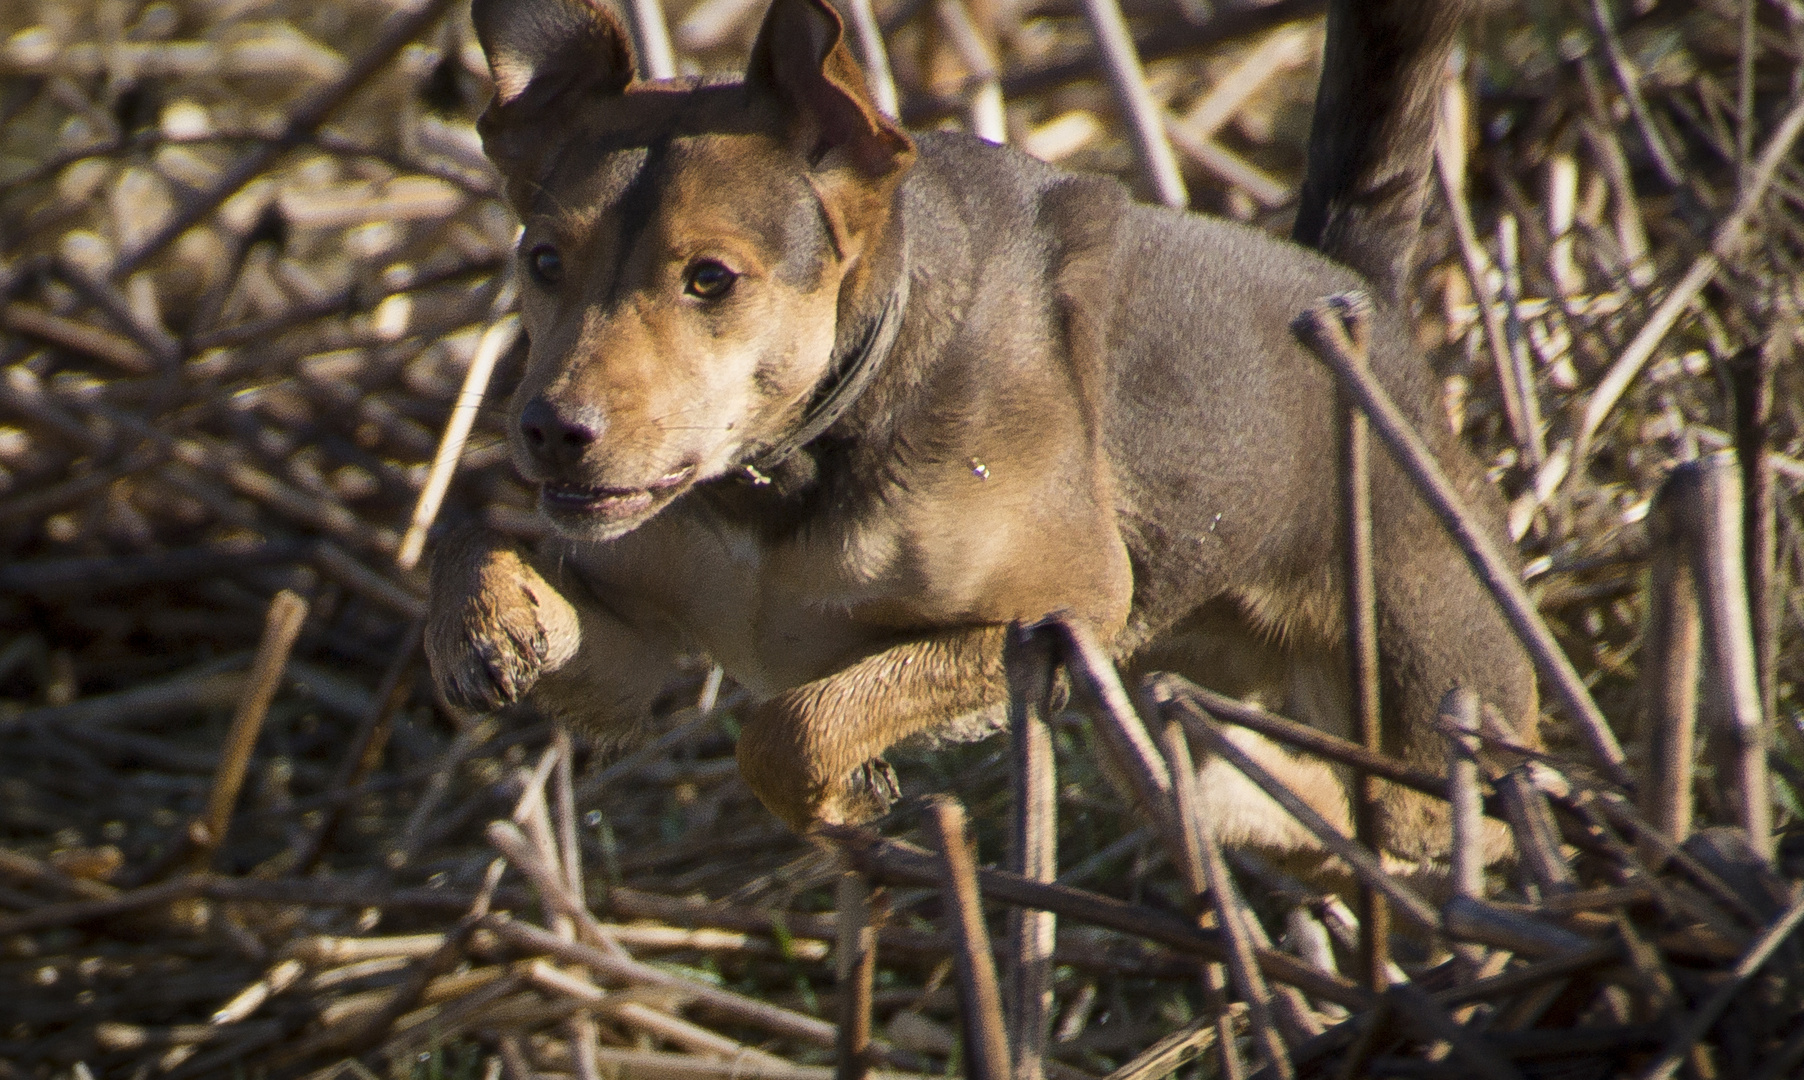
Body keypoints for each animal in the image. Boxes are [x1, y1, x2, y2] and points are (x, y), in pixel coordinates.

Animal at [432, 0, 1537, 869]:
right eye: (541, 260)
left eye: (711, 278)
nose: (548, 431)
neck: (788, 472)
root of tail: (1353, 292)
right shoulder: (641, 647)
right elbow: (480, 547)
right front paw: (486, 629)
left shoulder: (1058, 610)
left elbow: (794, 724)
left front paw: (842, 797)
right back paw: (1227, 794)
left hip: (1426, 681)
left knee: (1438, 818)